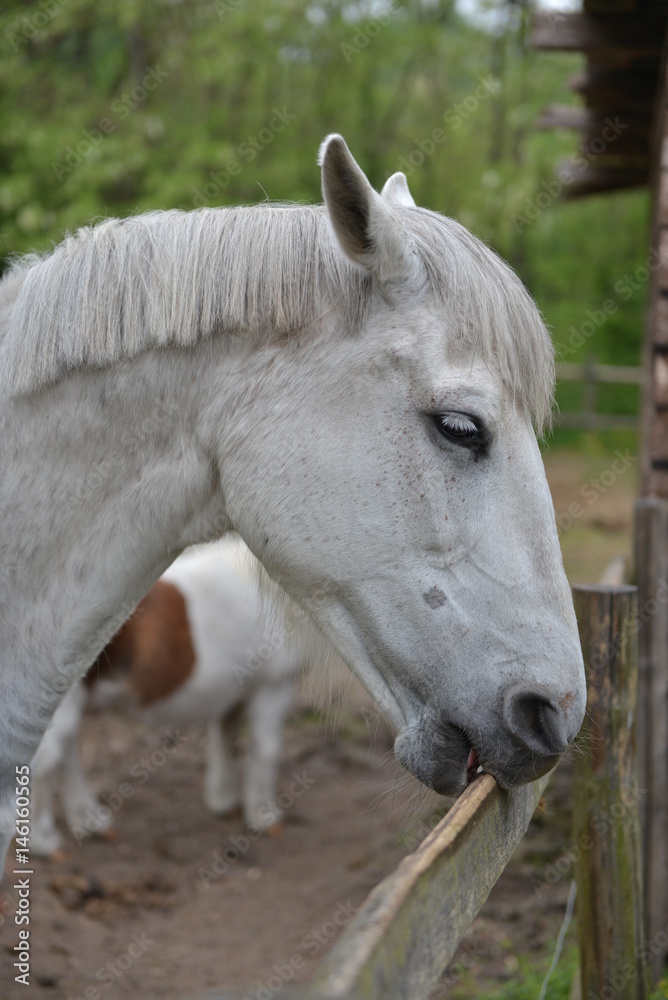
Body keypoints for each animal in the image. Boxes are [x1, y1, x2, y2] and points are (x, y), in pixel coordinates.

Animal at [29, 538, 305, 855]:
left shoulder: (236, 691)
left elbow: (225, 738)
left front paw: (222, 800)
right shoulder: (275, 686)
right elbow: (266, 749)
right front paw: (262, 817)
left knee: (65, 752)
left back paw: (89, 820)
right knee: (46, 759)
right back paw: (43, 840)